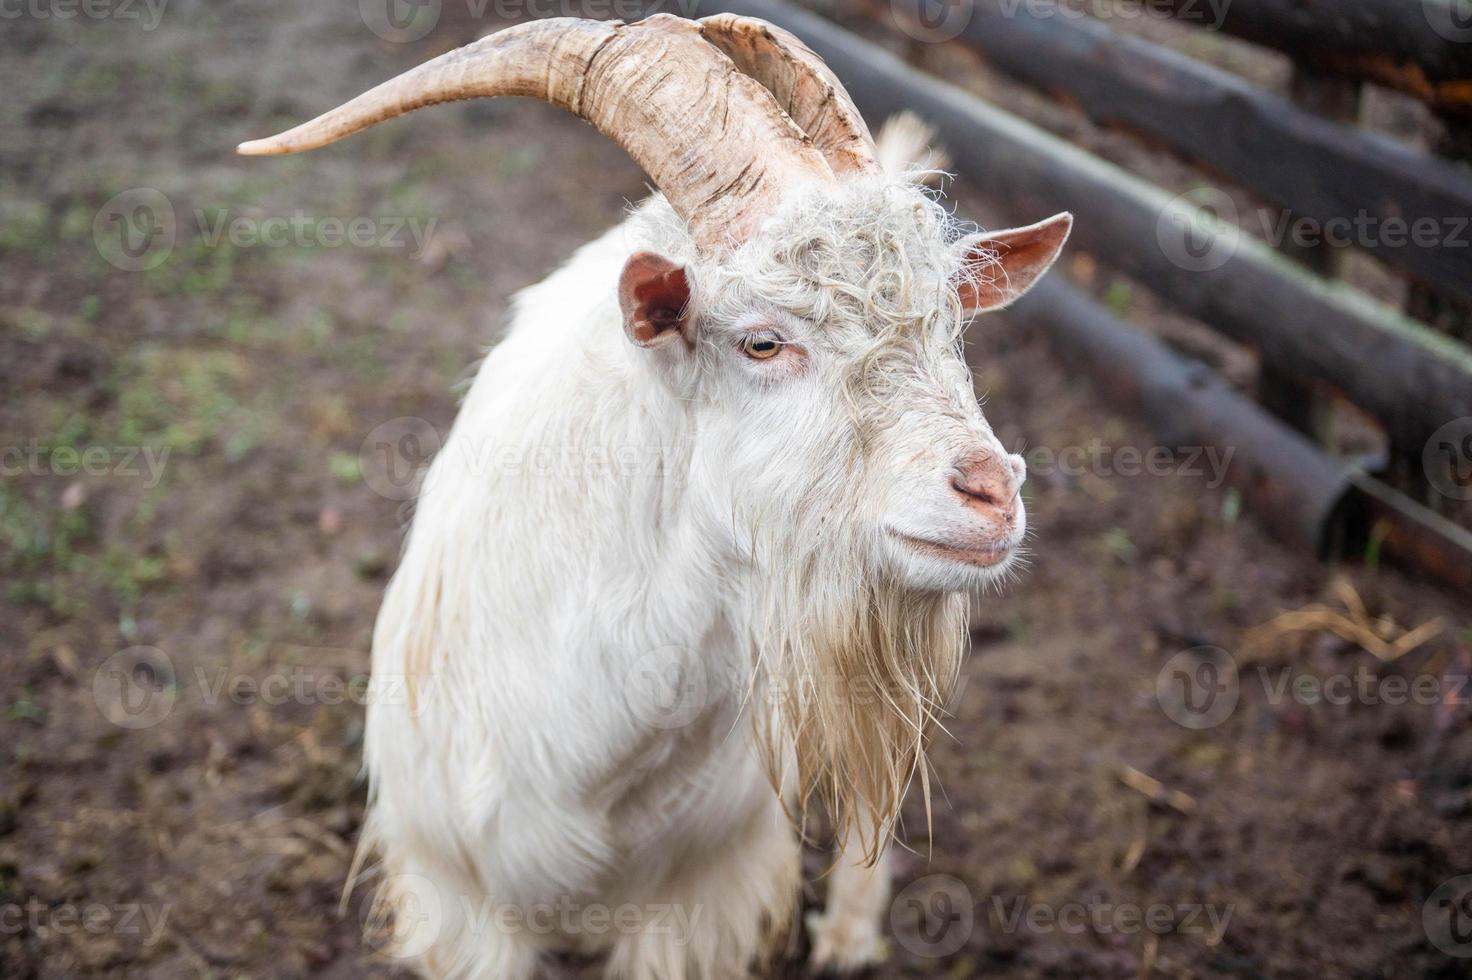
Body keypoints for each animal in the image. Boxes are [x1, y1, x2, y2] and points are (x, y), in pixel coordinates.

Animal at [241, 11, 1071, 971]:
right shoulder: (461, 897)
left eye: (951, 326)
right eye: (761, 342)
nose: (991, 494)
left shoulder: (694, 898)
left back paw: (849, 935)